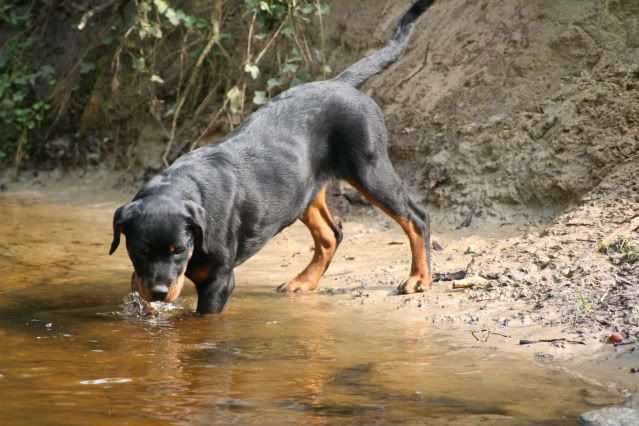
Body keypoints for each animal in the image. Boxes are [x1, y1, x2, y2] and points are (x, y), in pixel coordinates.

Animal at [112, 0, 438, 312]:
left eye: (179, 250)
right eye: (141, 251)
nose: (159, 292)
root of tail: (340, 82)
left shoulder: (218, 280)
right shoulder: (140, 278)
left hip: (370, 168)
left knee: (416, 218)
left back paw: (418, 278)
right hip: (304, 192)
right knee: (331, 235)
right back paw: (304, 281)